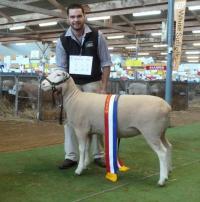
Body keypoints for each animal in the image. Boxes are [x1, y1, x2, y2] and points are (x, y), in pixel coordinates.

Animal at [41, 69, 172, 186]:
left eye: (58, 75)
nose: (42, 84)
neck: (74, 98)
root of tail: (167, 107)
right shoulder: (89, 131)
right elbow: (87, 148)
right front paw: (85, 165)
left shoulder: (81, 129)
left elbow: (82, 149)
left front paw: (78, 169)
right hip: (161, 132)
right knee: (169, 147)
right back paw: (167, 173)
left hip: (151, 132)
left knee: (162, 152)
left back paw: (161, 180)